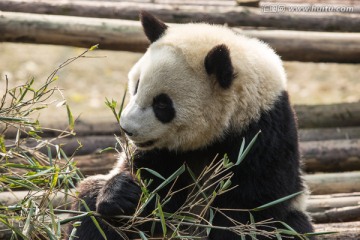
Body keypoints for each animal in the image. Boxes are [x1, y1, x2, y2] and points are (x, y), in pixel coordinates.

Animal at [69, 10, 312, 238]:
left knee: (289, 227)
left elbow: (249, 208)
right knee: (88, 203)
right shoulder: (162, 153)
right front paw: (123, 195)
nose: (127, 129)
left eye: (162, 104)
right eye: (136, 87)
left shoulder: (262, 137)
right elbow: (153, 190)